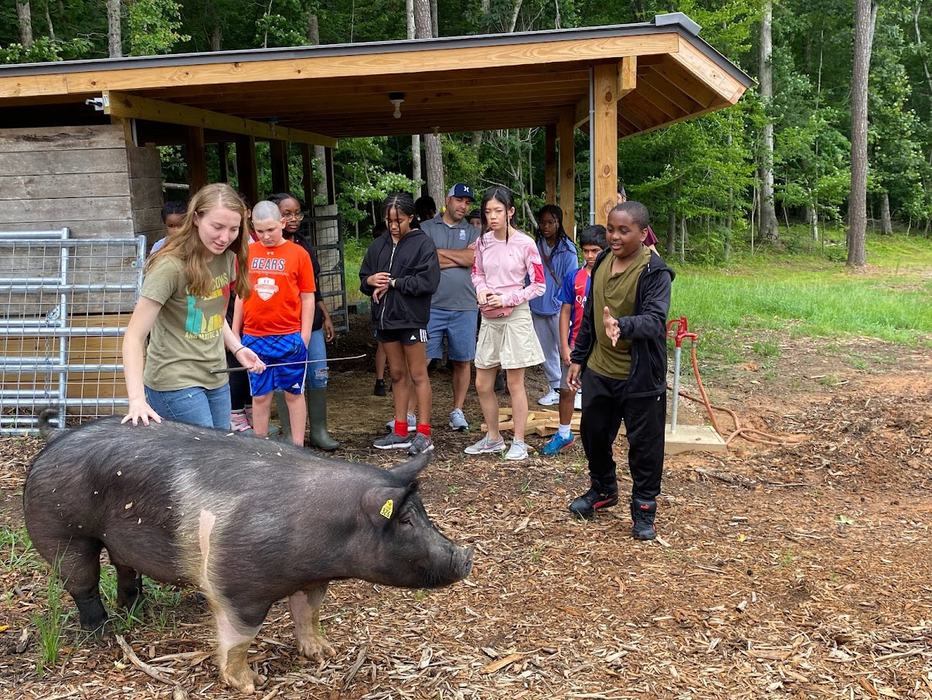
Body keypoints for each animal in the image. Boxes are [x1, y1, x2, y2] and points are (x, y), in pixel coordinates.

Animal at [24, 412, 473, 693]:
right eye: (406, 520)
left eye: (422, 514)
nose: (466, 556)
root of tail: (54, 440)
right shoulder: (236, 586)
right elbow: (240, 637)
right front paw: (249, 684)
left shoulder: (313, 580)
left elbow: (308, 614)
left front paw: (323, 653)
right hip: (62, 529)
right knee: (81, 582)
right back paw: (103, 633)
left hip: (117, 538)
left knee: (124, 568)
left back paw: (138, 611)